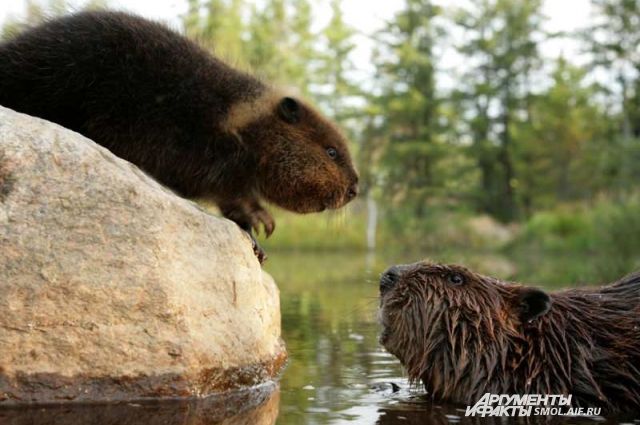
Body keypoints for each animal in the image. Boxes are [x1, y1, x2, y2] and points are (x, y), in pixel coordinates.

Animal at [0, 10, 360, 262]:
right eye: (331, 151)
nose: (355, 188)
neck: (240, 118)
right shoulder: (213, 153)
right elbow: (230, 195)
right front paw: (261, 223)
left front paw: (261, 238)